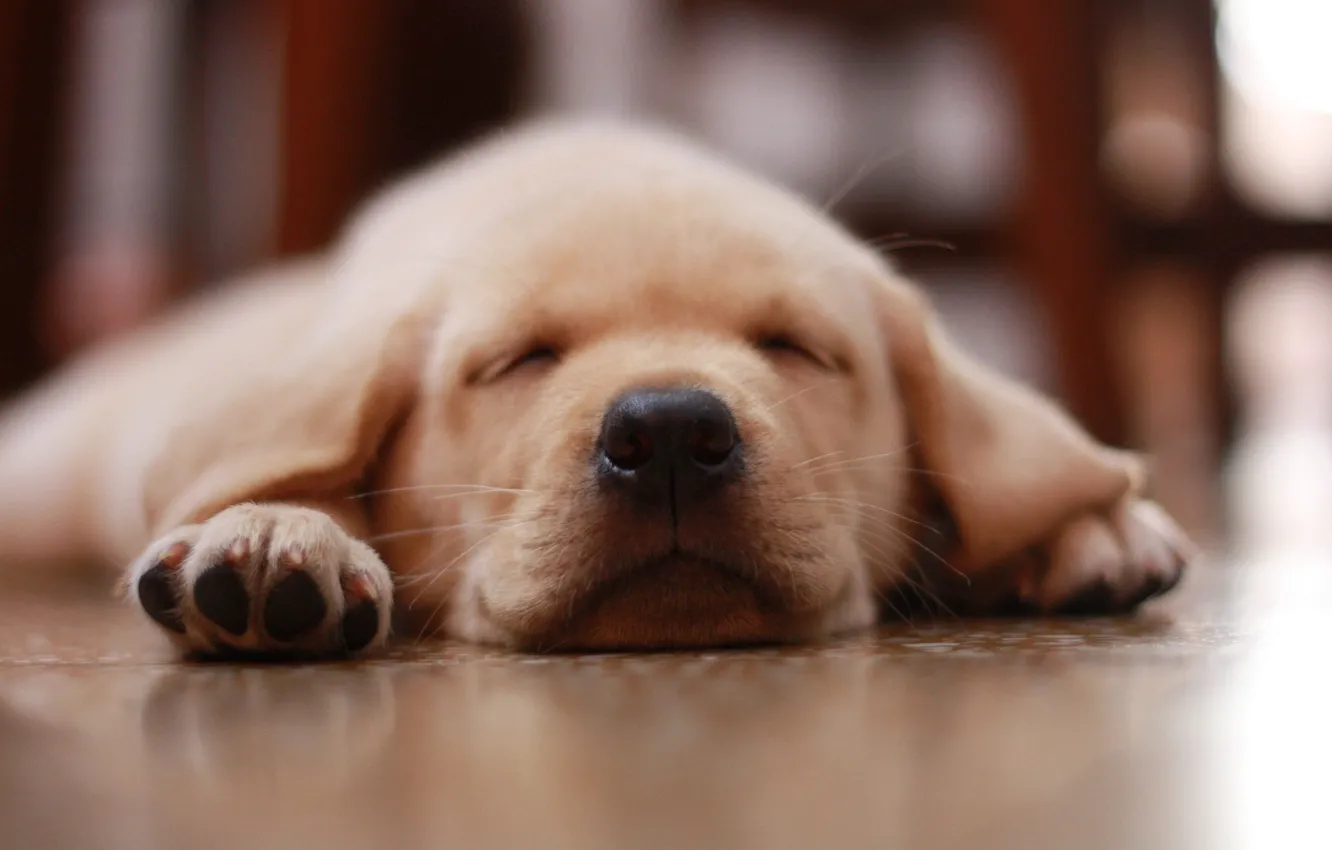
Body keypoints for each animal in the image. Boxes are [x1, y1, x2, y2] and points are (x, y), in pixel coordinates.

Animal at [0, 121, 1198, 660]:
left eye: (796, 349)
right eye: (519, 361)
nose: (668, 432)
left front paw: (1088, 528)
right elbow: (300, 471)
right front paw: (271, 536)